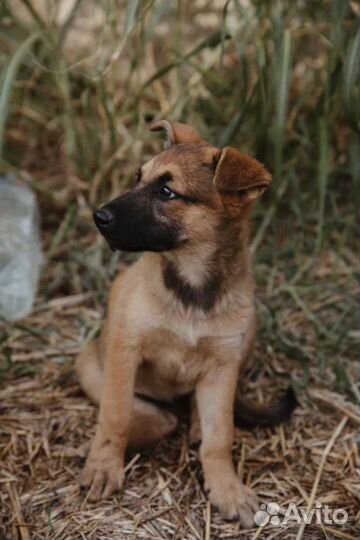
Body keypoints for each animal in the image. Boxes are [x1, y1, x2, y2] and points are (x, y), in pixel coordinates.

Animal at [76, 121, 296, 528]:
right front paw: (103, 465)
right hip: (90, 364)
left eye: (167, 191)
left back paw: (194, 423)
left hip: (247, 338)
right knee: (155, 419)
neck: (192, 285)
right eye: (138, 178)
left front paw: (226, 487)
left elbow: (220, 435)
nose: (99, 217)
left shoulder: (224, 364)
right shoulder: (125, 349)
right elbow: (116, 415)